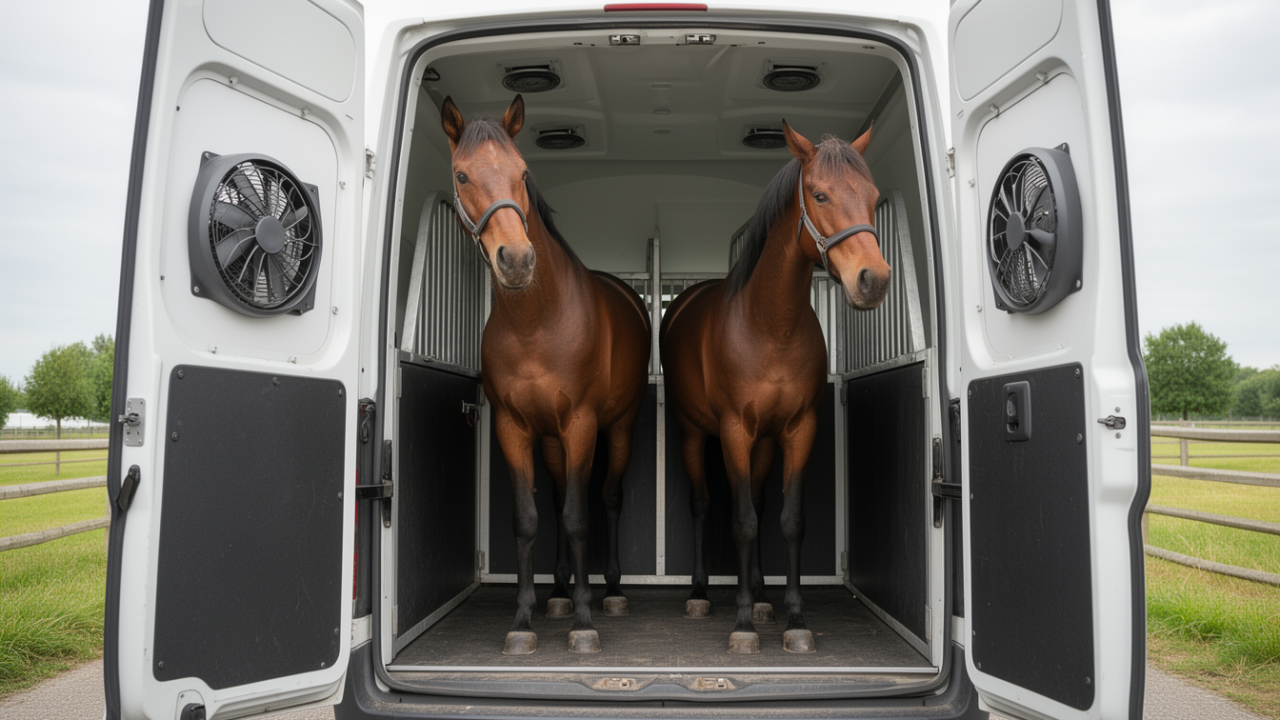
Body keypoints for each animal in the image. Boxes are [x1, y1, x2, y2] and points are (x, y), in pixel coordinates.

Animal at [441, 95, 651, 655]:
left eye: (522, 172)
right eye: (462, 175)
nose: (516, 260)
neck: (537, 322)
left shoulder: (581, 424)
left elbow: (580, 517)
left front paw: (584, 620)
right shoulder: (514, 428)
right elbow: (529, 519)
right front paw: (523, 619)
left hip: (617, 429)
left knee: (608, 499)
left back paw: (611, 591)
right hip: (553, 440)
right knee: (557, 499)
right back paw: (557, 591)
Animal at [659, 122, 890, 655]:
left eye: (873, 197)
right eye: (820, 194)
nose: (874, 280)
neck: (770, 327)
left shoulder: (798, 430)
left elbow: (788, 520)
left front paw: (793, 618)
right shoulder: (734, 431)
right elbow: (742, 521)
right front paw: (742, 624)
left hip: (763, 442)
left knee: (761, 505)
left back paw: (763, 596)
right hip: (694, 434)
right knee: (703, 505)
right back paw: (701, 594)